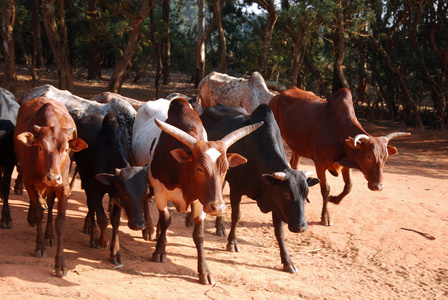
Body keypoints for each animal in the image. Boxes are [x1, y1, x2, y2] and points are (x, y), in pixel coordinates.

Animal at [13, 96, 87, 276]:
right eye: (40, 147)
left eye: (66, 149)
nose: (53, 177)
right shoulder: (29, 182)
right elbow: (38, 211)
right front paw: (39, 246)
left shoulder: (63, 187)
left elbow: (60, 221)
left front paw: (60, 263)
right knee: (39, 204)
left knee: (50, 203)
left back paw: (49, 234)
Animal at [131, 97, 262, 284]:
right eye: (199, 168)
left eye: (226, 168)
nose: (218, 207)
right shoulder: (160, 193)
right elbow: (166, 220)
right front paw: (160, 251)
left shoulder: (202, 200)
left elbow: (198, 234)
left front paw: (204, 271)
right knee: (145, 199)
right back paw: (149, 230)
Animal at [201, 104, 320, 274]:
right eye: (286, 194)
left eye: (306, 195)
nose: (301, 227)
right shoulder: (236, 189)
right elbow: (236, 215)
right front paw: (232, 242)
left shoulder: (275, 202)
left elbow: (279, 231)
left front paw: (288, 261)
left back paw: (219, 228)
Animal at [268, 86, 412, 225]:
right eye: (369, 156)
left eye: (386, 158)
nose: (379, 186)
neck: (339, 131)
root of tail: (277, 97)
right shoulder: (320, 163)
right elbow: (325, 188)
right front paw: (326, 216)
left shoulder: (345, 163)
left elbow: (349, 186)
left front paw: (334, 199)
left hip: (297, 146)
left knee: (294, 163)